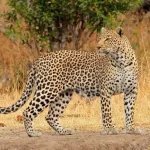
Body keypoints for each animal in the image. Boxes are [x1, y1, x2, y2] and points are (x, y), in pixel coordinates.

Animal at [0, 27, 138, 137]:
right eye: (99, 38)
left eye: (108, 39)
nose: (98, 47)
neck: (121, 60)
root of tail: (39, 59)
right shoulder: (106, 91)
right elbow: (107, 112)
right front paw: (110, 129)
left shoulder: (131, 91)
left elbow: (130, 111)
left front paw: (131, 128)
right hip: (47, 90)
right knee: (27, 111)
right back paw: (32, 133)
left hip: (63, 94)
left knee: (50, 116)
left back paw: (63, 131)